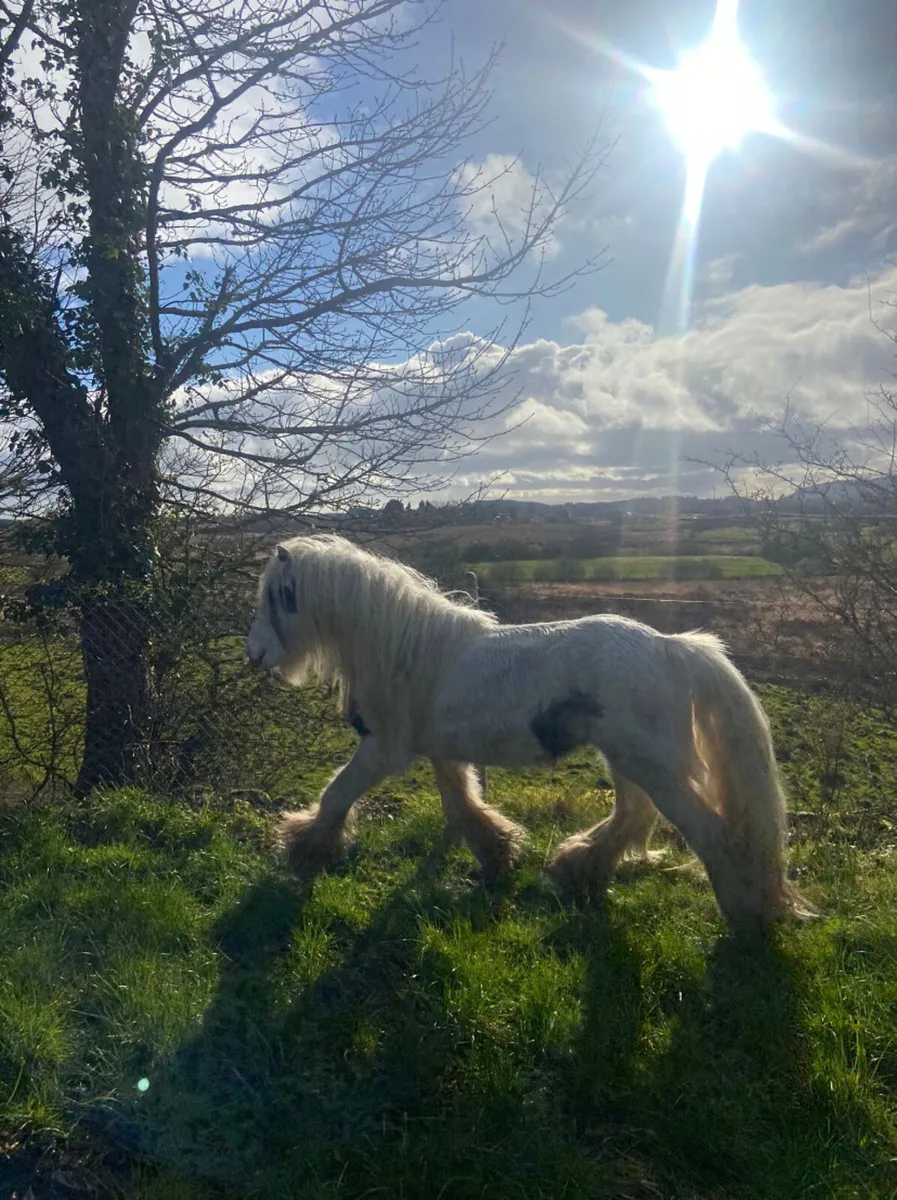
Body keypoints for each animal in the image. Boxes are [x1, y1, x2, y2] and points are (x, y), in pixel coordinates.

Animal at [245, 534, 815, 929]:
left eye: (278, 597)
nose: (253, 654)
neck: (413, 654)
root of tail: (672, 647)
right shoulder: (442, 751)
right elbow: (463, 804)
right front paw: (498, 856)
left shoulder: (385, 750)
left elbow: (338, 794)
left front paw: (304, 846)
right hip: (628, 760)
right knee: (632, 816)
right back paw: (578, 868)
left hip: (651, 765)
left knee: (704, 831)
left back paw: (748, 915)